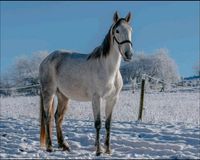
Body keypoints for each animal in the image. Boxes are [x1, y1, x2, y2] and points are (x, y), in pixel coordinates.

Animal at [39, 10, 133, 155]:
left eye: (130, 30)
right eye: (117, 31)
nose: (129, 54)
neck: (108, 69)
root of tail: (46, 60)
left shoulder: (112, 99)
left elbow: (108, 124)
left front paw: (108, 150)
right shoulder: (96, 98)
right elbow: (98, 123)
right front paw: (98, 151)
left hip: (63, 96)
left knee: (58, 117)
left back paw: (64, 145)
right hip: (48, 93)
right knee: (47, 117)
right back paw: (50, 147)